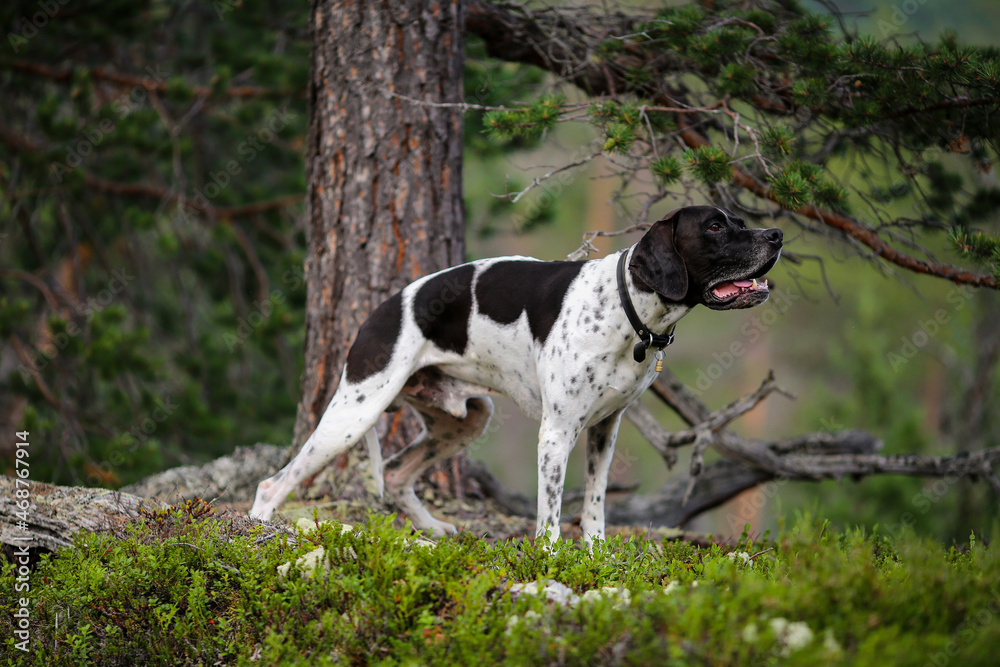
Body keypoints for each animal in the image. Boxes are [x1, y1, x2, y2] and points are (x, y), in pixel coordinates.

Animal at [248, 206, 780, 544]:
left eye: (738, 220)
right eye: (715, 226)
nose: (775, 235)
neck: (625, 306)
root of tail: (380, 310)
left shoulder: (605, 430)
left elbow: (594, 506)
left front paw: (596, 556)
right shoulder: (556, 433)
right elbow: (550, 513)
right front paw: (550, 559)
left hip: (465, 419)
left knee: (397, 474)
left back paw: (433, 529)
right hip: (352, 416)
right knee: (274, 483)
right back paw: (258, 530)